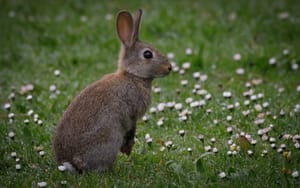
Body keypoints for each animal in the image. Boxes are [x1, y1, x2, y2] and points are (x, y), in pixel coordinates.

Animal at [53, 8, 172, 173]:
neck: (133, 76)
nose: (169, 68)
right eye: (147, 54)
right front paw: (128, 148)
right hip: (109, 139)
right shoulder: (131, 113)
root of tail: (70, 163)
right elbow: (130, 128)